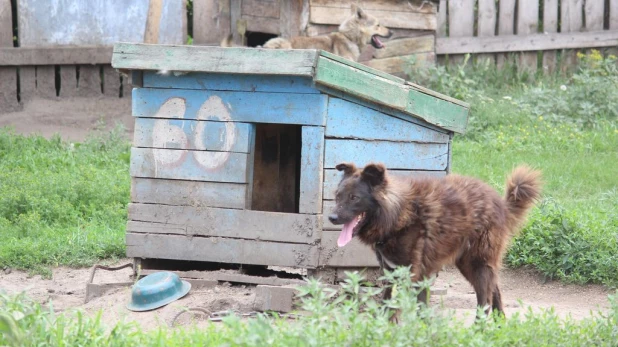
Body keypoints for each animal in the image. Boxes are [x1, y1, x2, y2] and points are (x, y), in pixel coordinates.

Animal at [328, 163, 540, 318]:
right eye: (337, 196)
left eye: (354, 197)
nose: (331, 218)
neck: (398, 215)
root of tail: (501, 204)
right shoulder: (392, 273)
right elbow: (389, 308)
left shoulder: (415, 275)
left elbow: (415, 311)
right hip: (470, 264)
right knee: (494, 291)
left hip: (477, 264)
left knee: (484, 302)